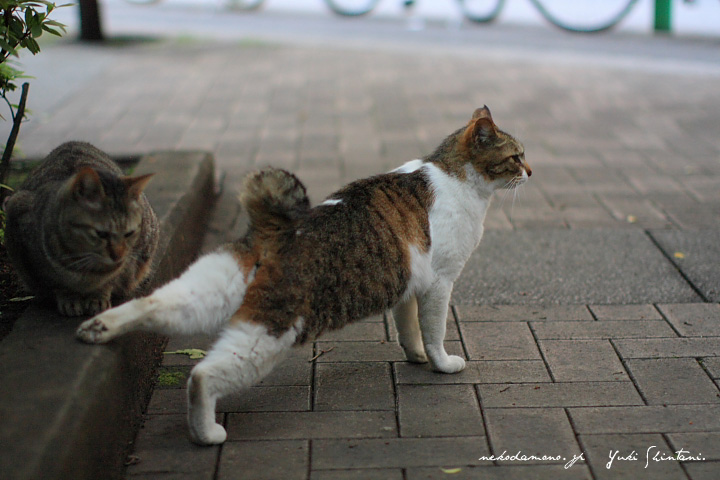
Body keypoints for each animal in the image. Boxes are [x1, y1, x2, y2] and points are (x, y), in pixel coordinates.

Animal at [4, 141, 159, 316]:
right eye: (101, 233)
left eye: (129, 233)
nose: (118, 255)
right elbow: (56, 283)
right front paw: (69, 298)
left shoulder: (127, 264)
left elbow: (111, 280)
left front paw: (98, 296)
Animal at [77, 106, 530, 445]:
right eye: (515, 156)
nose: (531, 172)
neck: (456, 176)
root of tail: (271, 231)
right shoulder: (439, 283)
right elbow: (434, 331)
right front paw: (441, 364)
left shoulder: (409, 288)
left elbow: (409, 328)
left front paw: (415, 356)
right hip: (268, 336)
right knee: (201, 376)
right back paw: (207, 434)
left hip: (207, 291)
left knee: (152, 303)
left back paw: (98, 327)